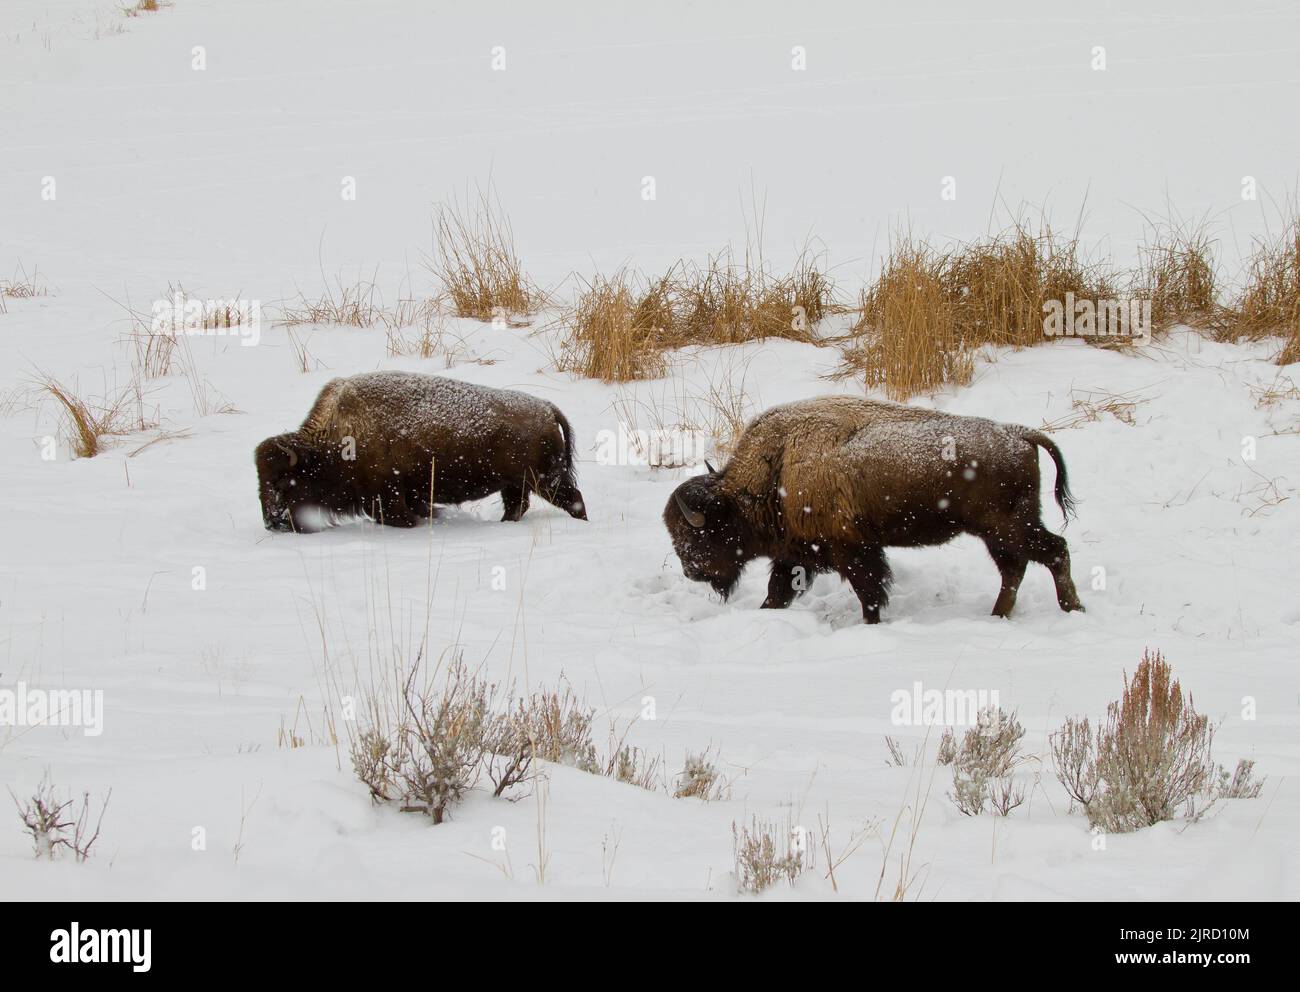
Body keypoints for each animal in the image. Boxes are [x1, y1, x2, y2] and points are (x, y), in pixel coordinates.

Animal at [256, 371, 587, 531]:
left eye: (284, 482)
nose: (273, 523)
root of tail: (547, 408)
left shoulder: (388, 493)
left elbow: (398, 516)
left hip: (545, 480)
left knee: (574, 500)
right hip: (516, 484)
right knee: (518, 506)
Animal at [663, 396, 1083, 623]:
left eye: (699, 533)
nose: (690, 571)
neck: (776, 469)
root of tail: (1020, 434)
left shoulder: (853, 551)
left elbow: (869, 591)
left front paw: (870, 623)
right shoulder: (794, 555)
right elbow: (776, 592)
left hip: (1007, 527)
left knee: (1051, 552)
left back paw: (1069, 608)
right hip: (1001, 532)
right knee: (1021, 566)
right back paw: (1004, 615)